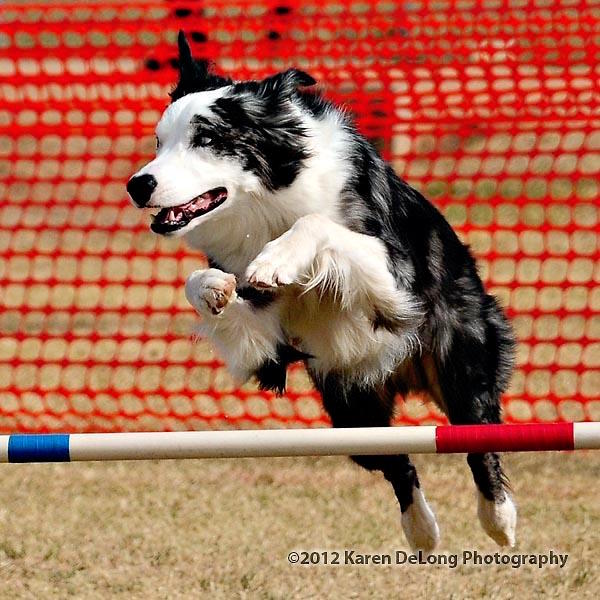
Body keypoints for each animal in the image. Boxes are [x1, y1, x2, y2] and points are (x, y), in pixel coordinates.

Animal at [126, 30, 516, 552]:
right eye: (159, 142)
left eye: (207, 138)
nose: (137, 185)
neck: (270, 204)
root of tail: (403, 375)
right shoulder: (265, 343)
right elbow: (213, 293)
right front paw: (214, 290)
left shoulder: (396, 281)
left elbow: (316, 226)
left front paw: (276, 259)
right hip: (349, 410)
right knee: (398, 465)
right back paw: (422, 531)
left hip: (461, 360)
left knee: (479, 441)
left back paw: (500, 519)